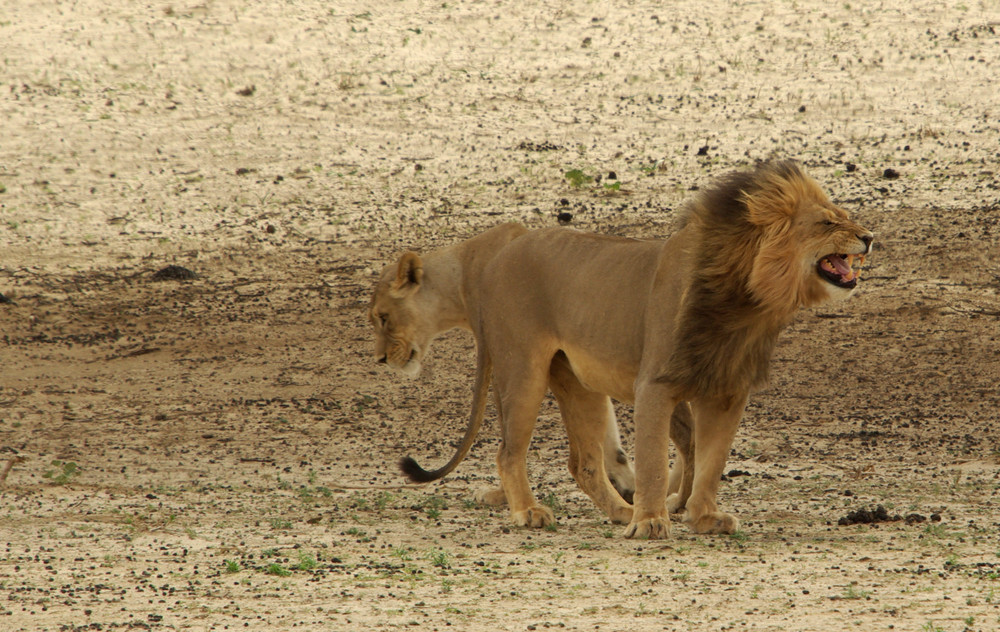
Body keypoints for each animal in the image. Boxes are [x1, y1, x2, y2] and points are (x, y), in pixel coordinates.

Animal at [368, 222, 640, 508]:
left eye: (384, 317)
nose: (380, 359)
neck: (458, 279)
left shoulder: (503, 353)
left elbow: (506, 426)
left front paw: (501, 494)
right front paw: (625, 481)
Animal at [402, 160, 872, 536]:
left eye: (845, 216)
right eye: (827, 223)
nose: (868, 236)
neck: (747, 306)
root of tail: (495, 258)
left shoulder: (727, 392)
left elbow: (712, 461)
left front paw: (703, 518)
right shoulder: (655, 385)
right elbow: (652, 461)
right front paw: (650, 522)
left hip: (579, 382)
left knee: (584, 463)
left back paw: (619, 512)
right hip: (522, 371)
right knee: (507, 451)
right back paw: (529, 512)